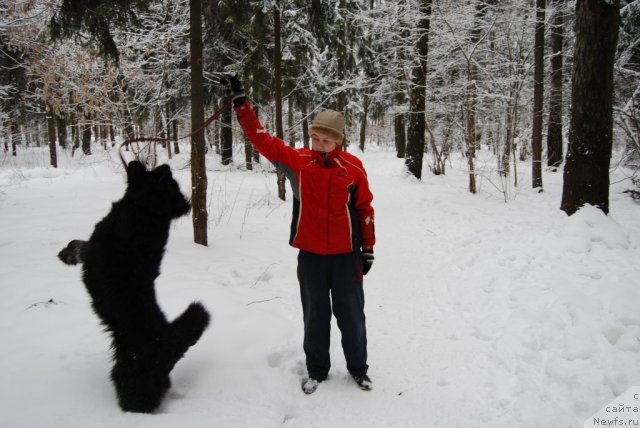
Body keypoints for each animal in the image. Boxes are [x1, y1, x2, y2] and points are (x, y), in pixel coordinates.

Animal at [59, 160, 210, 412]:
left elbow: (78, 245)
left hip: (131, 377)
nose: (166, 165)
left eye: (167, 181)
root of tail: (170, 344)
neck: (143, 211)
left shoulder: (94, 249)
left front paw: (66, 254)